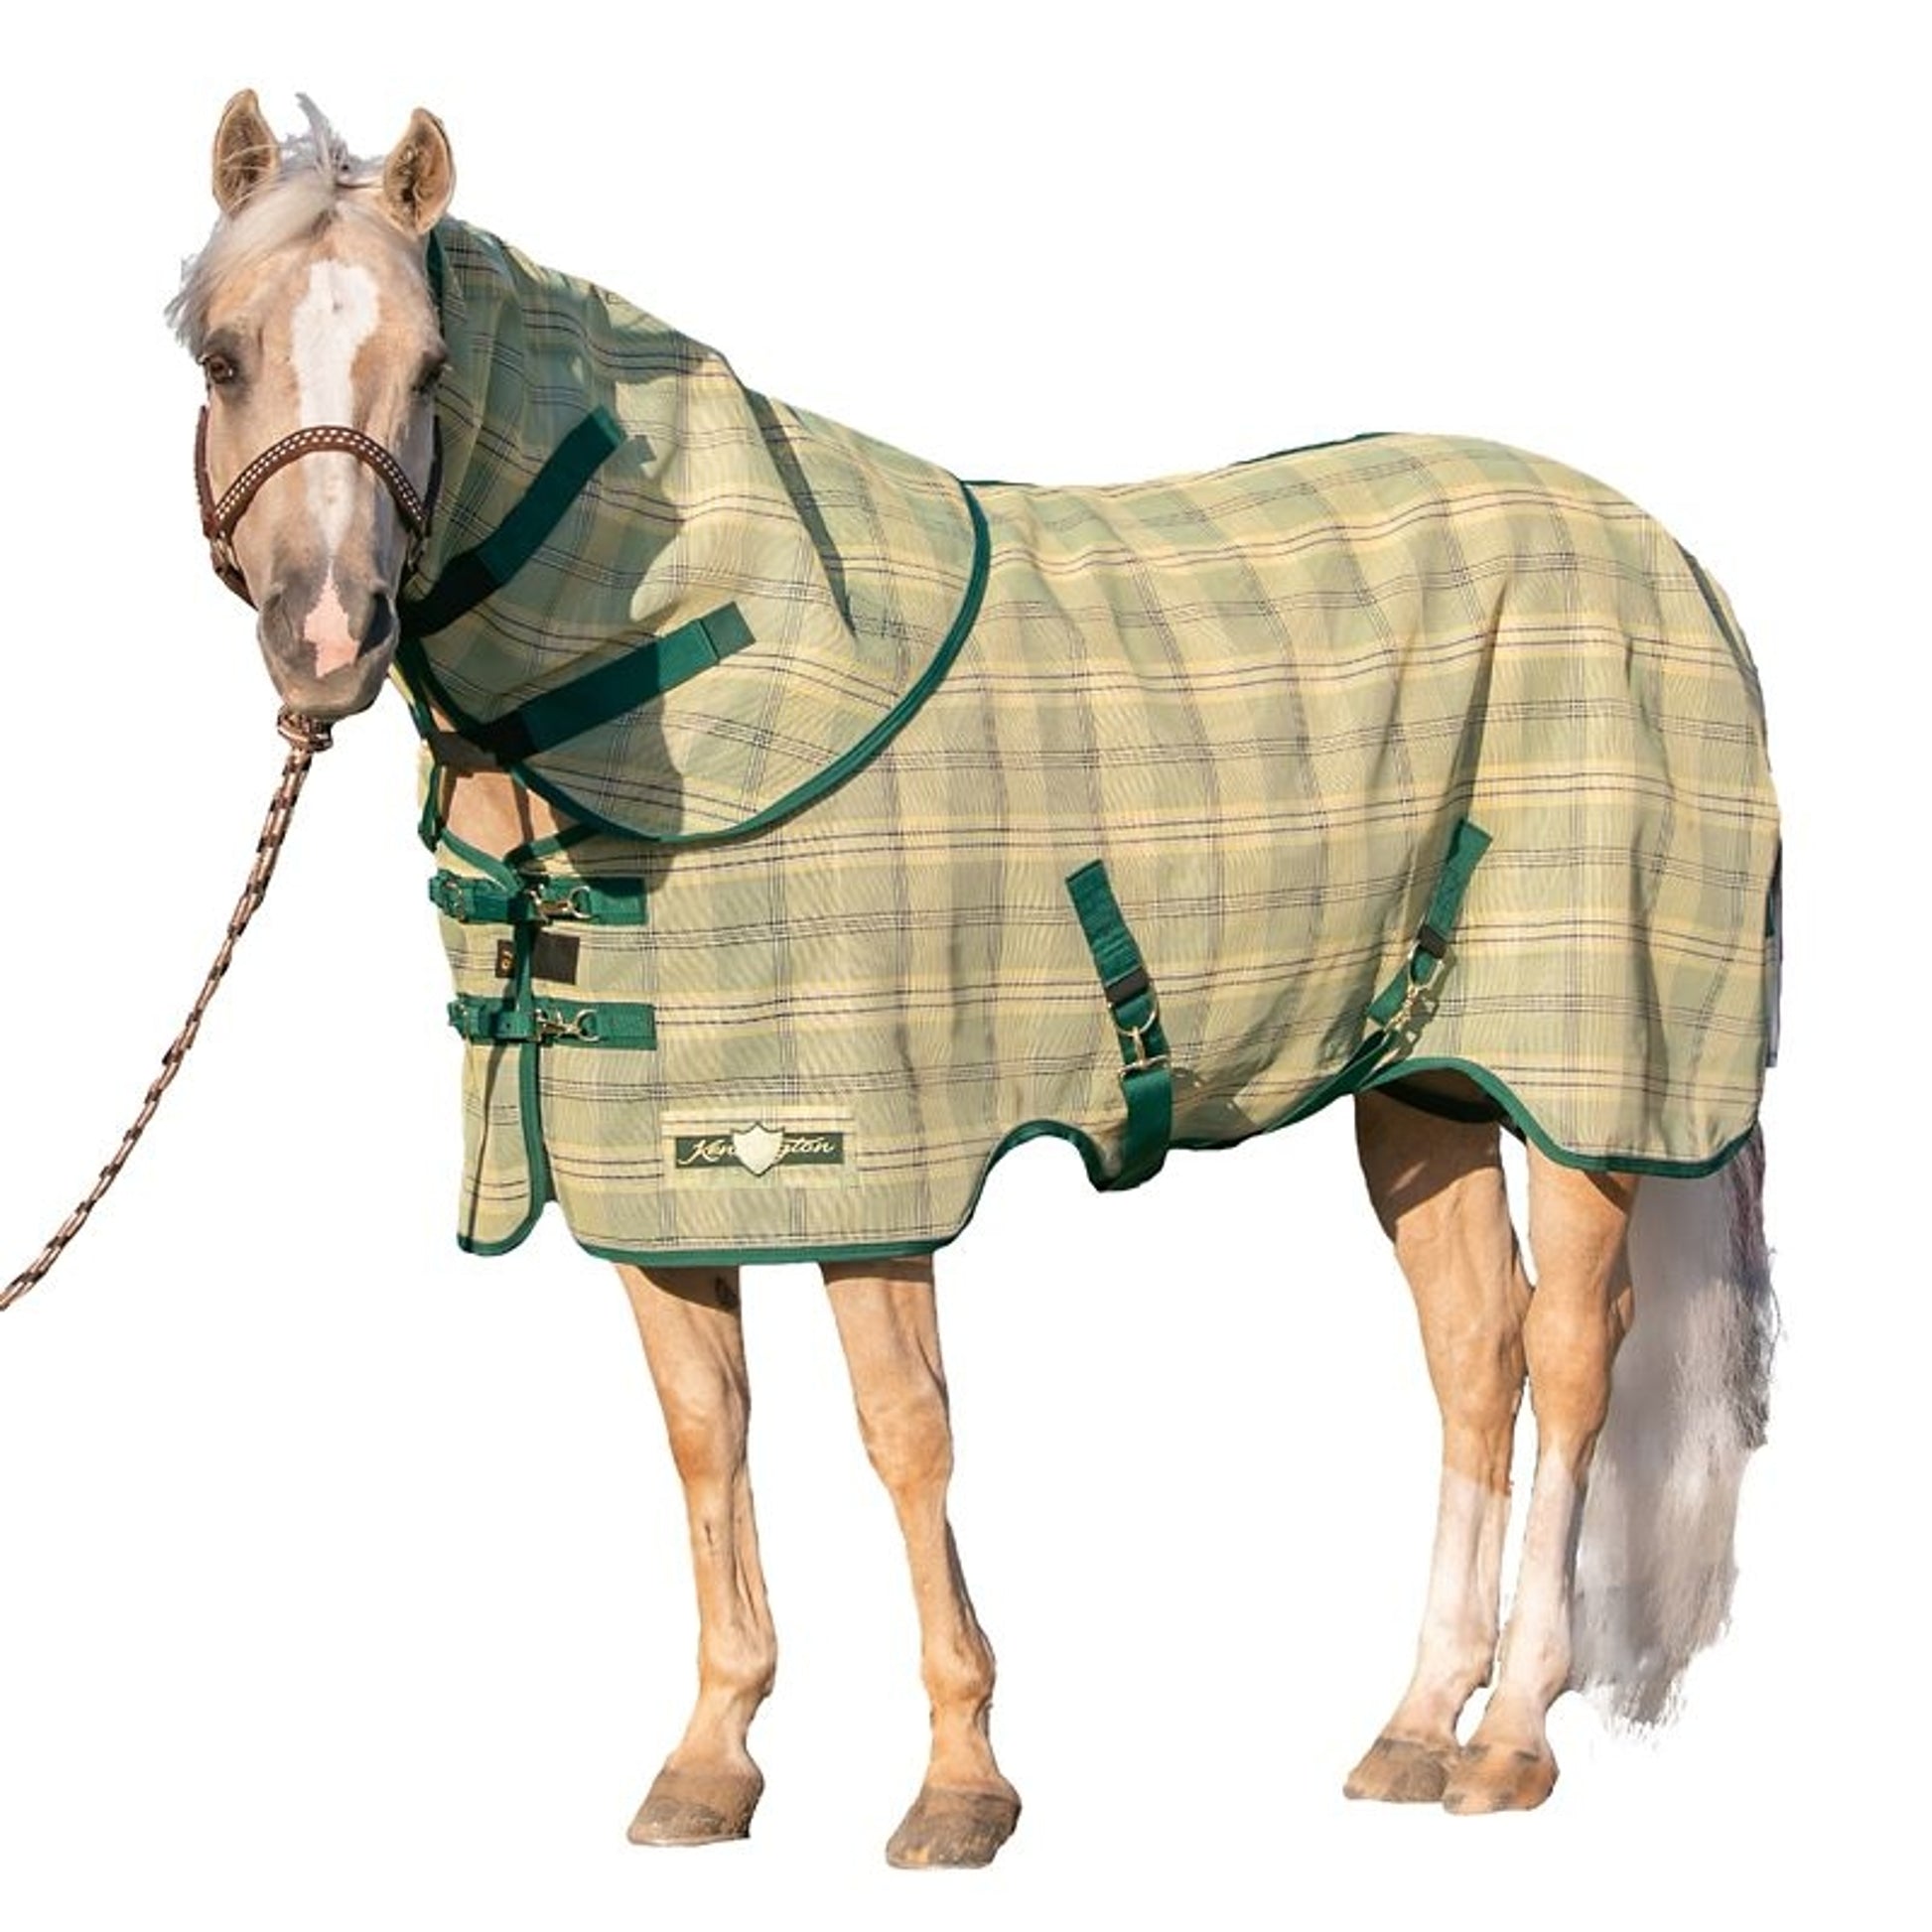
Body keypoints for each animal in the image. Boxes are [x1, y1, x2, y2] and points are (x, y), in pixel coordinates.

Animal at [169, 92, 1780, 1866]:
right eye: (223, 354)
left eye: (432, 363)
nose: (330, 638)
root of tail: (1671, 559)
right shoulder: (654, 1164)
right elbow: (706, 1435)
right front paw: (710, 1760)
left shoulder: (860, 1152)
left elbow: (904, 1432)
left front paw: (960, 1783)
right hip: (1421, 1079)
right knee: (1474, 1353)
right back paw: (1414, 1727)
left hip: (1592, 1074)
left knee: (1568, 1352)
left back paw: (1508, 1737)